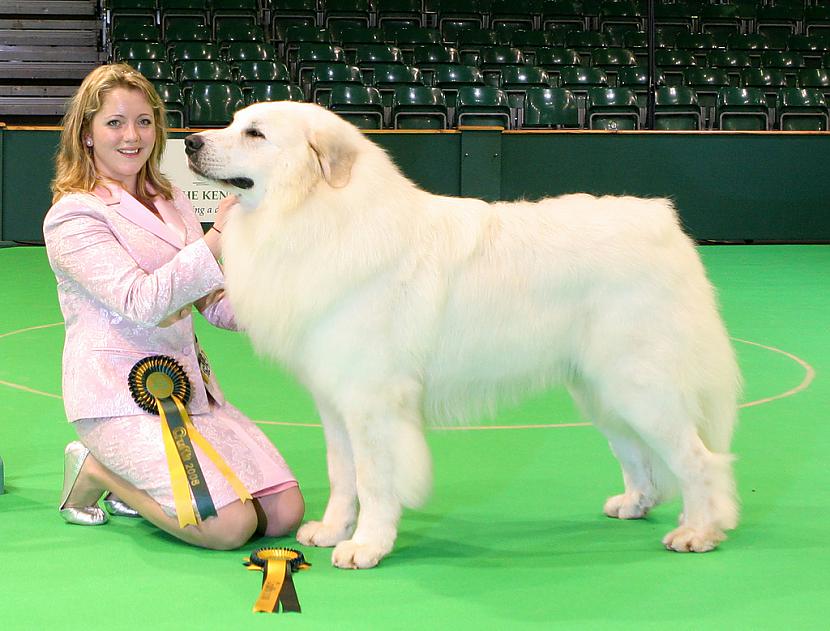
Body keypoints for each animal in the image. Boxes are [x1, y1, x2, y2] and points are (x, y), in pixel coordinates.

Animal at [187, 101, 740, 572]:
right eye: (233, 122)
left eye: (255, 133)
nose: (190, 141)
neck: (320, 213)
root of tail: (662, 222)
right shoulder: (336, 402)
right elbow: (343, 474)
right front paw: (331, 529)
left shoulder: (372, 403)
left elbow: (374, 479)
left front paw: (366, 546)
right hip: (601, 389)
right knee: (638, 453)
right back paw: (636, 503)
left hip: (639, 385)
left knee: (698, 459)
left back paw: (700, 531)